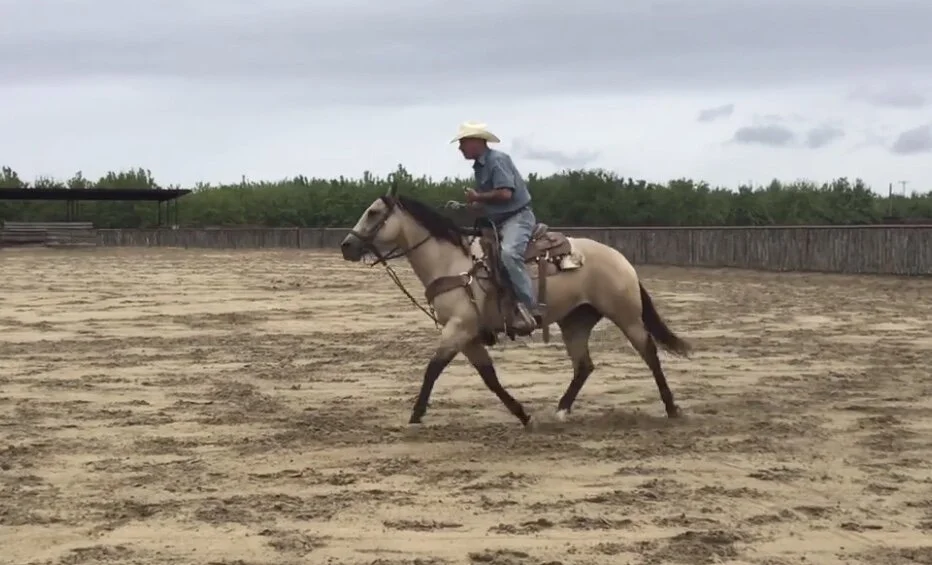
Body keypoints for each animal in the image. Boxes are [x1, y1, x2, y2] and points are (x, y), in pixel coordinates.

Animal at [339, 182, 692, 428]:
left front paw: (415, 415)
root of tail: (622, 259)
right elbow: (489, 378)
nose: (346, 245)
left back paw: (672, 408)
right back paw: (561, 410)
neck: (452, 263)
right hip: (575, 321)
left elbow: (433, 369)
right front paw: (523, 415)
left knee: (649, 352)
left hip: (625, 315)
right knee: (584, 366)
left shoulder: (459, 328)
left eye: (373, 212)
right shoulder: (468, 336)